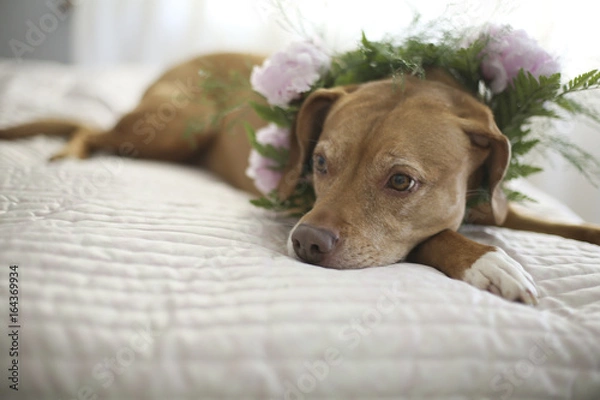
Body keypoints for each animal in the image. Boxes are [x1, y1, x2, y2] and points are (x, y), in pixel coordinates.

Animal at [1, 52, 600, 304]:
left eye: (401, 182)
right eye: (319, 163)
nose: (307, 241)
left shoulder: (496, 204)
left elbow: (568, 227)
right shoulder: (294, 203)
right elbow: (431, 238)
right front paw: (487, 262)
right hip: (169, 128)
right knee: (91, 129)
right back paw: (68, 154)